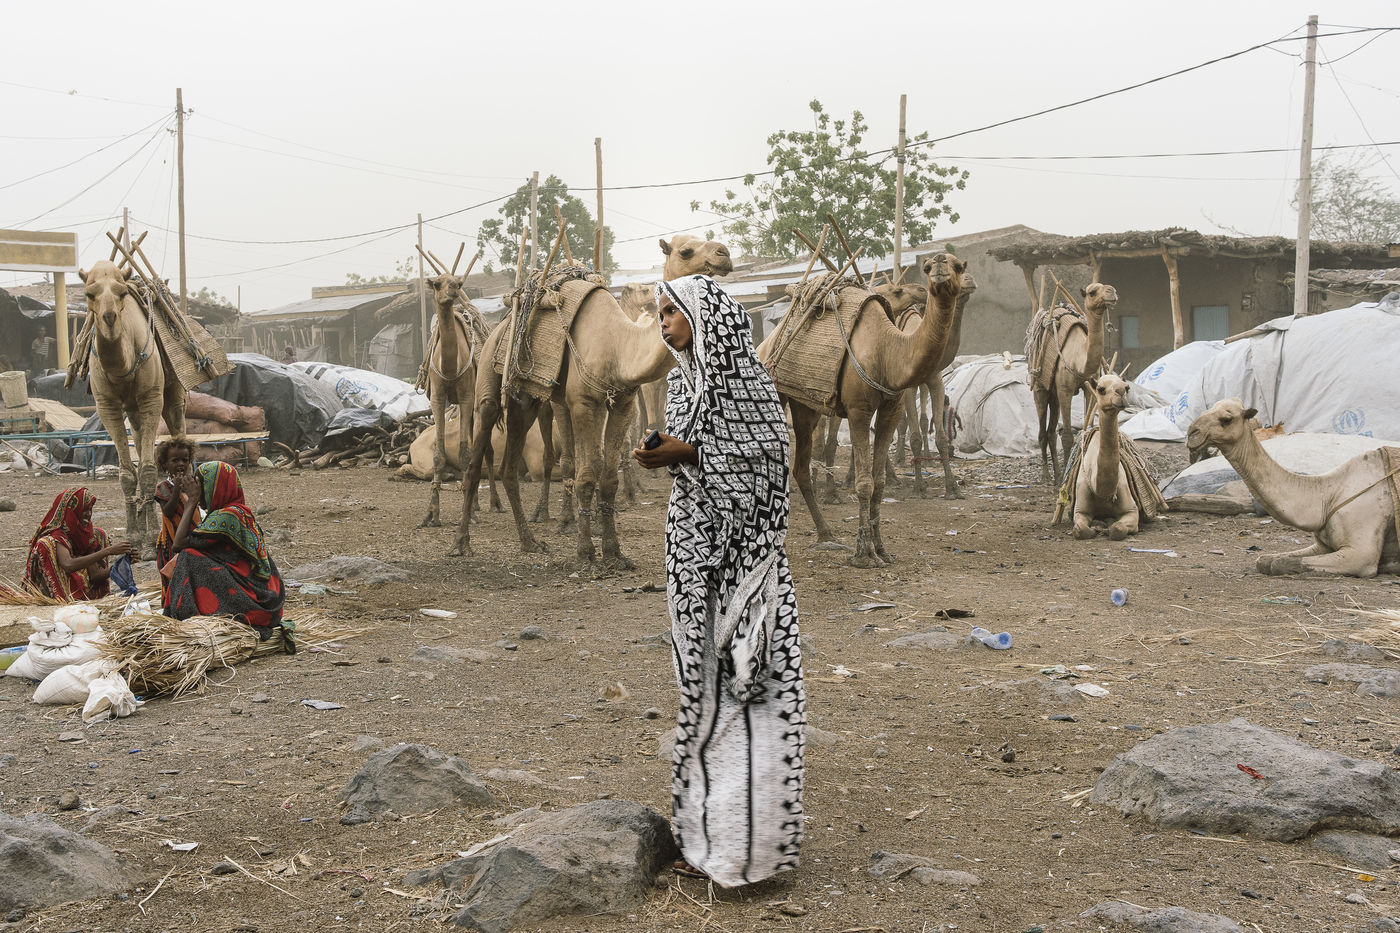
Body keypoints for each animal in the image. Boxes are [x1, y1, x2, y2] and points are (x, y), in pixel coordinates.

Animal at [81, 261, 186, 558]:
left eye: (121, 292)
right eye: (89, 294)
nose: (109, 317)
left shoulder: (151, 398)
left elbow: (148, 470)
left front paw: (151, 538)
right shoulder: (107, 406)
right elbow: (128, 473)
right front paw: (133, 536)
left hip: (173, 392)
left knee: (179, 428)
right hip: (133, 412)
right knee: (138, 439)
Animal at [763, 253, 966, 567]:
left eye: (958, 266)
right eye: (928, 266)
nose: (940, 265)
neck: (888, 352)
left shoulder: (891, 410)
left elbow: (879, 483)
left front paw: (881, 548)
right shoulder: (859, 410)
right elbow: (864, 483)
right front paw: (863, 553)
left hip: (805, 406)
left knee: (800, 468)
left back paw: (826, 533)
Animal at [1028, 283, 1117, 486]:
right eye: (1092, 292)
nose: (1112, 292)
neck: (1079, 360)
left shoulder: (1090, 387)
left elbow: (1086, 430)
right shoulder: (1065, 389)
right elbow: (1068, 436)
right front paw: (1065, 481)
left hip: (1054, 395)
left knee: (1051, 432)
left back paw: (1057, 475)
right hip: (1040, 388)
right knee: (1042, 431)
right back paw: (1047, 476)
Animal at [1071, 373, 1141, 540]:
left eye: (1127, 387)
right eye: (1101, 389)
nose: (1120, 392)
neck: (1102, 493)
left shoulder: (1132, 511)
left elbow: (1118, 529)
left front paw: (1106, 527)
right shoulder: (1080, 510)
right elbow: (1080, 530)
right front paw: (1096, 527)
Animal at [1186, 399, 1400, 578]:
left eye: (1226, 419)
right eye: (1207, 409)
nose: (1192, 433)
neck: (1328, 495)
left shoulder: (1361, 554)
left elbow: (1280, 563)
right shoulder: (1322, 545)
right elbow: (1264, 560)